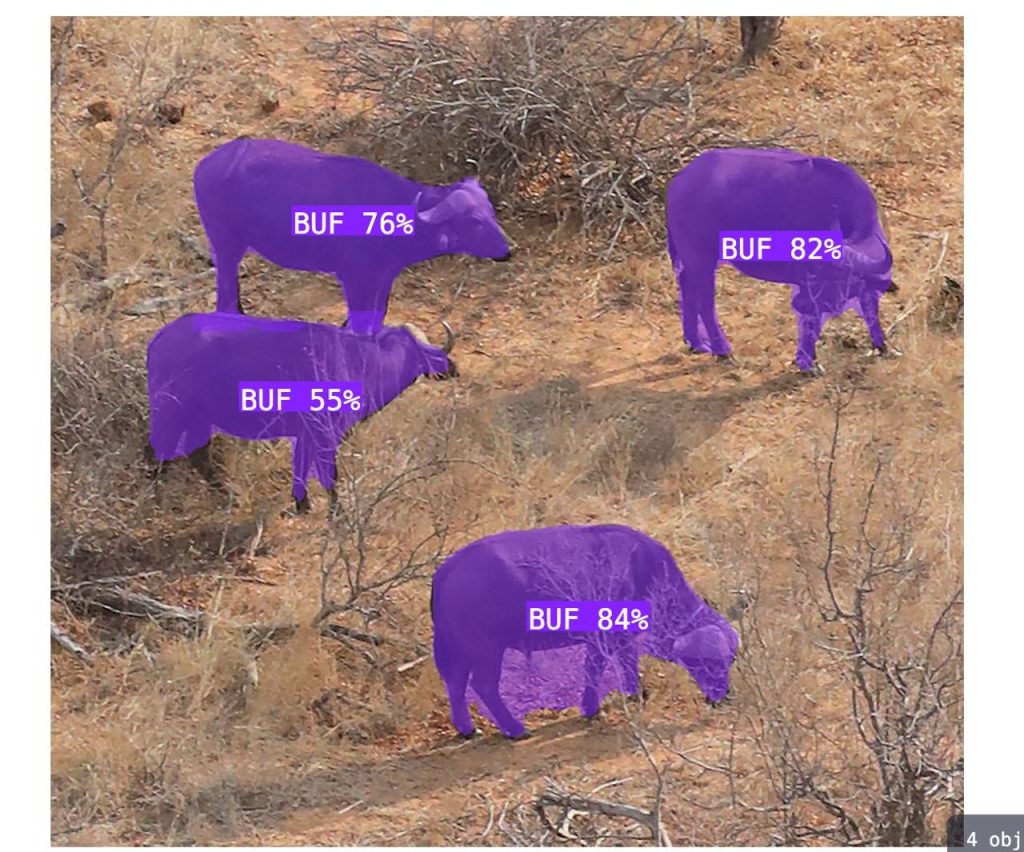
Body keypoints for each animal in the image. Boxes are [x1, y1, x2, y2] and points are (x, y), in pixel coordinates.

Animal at [147, 313, 456, 510]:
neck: (356, 364)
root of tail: (160, 341)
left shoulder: (304, 435)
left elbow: (302, 467)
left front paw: (302, 504)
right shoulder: (323, 434)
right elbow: (328, 474)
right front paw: (336, 513)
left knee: (195, 456)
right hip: (174, 414)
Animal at [193, 138, 511, 332]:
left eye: (491, 213)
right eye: (473, 220)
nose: (509, 250)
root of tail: (206, 165)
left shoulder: (384, 276)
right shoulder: (355, 279)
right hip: (226, 245)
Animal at [431, 524, 739, 738]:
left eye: (729, 660)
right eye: (708, 663)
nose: (724, 696)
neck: (643, 569)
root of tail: (446, 571)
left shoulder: (612, 637)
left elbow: (616, 663)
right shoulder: (606, 635)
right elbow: (602, 667)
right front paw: (600, 706)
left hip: (461, 651)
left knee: (455, 686)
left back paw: (467, 730)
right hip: (487, 650)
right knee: (483, 686)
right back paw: (516, 730)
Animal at [666, 147, 896, 371]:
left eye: (835, 280)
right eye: (814, 277)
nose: (799, 303)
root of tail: (679, 181)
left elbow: (870, 308)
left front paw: (882, 345)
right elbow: (812, 322)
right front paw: (808, 362)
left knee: (687, 287)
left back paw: (696, 342)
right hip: (701, 258)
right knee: (705, 301)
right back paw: (722, 351)